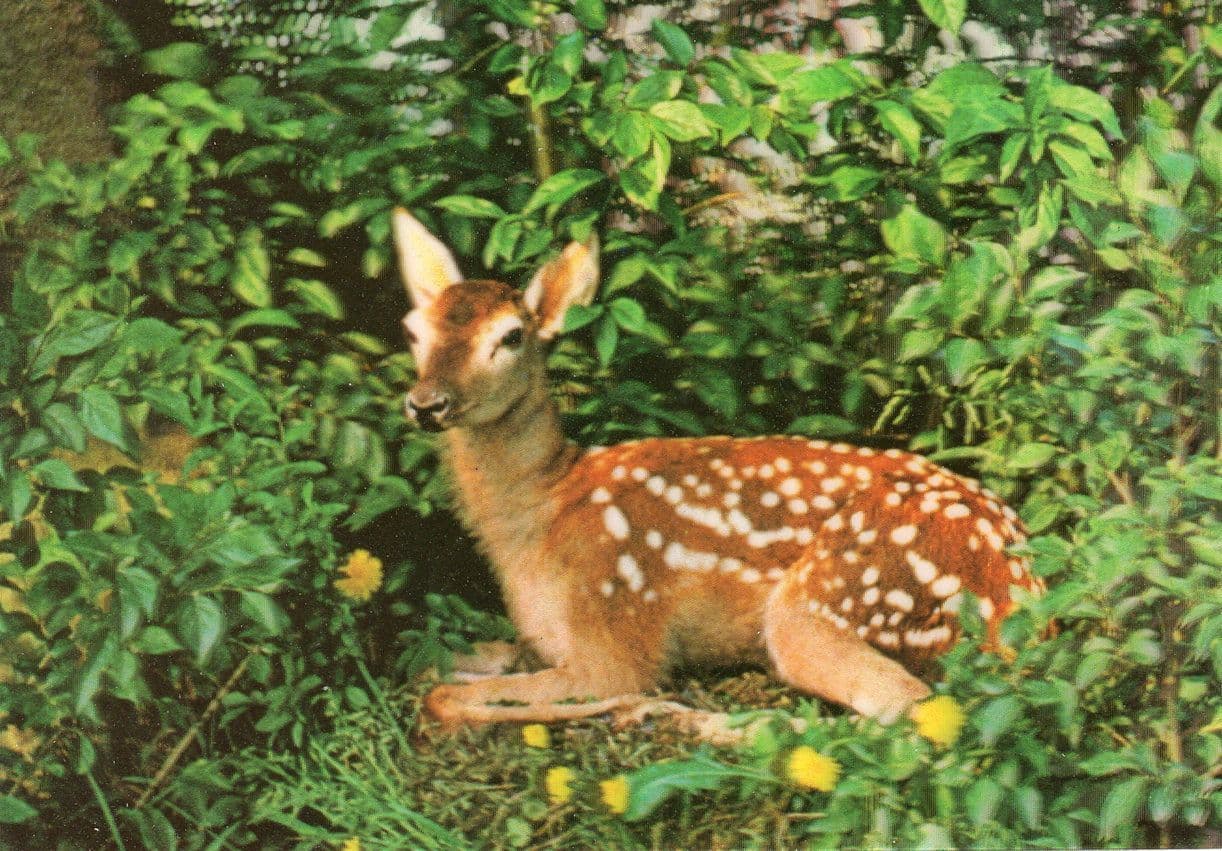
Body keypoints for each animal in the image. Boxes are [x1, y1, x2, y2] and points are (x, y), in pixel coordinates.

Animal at [392, 208, 1044, 739]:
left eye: (511, 336)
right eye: (414, 330)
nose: (427, 403)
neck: (541, 515)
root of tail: (1021, 596)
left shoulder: (614, 628)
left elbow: (445, 695)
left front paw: (631, 706)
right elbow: (430, 665)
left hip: (829, 600)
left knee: (908, 715)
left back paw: (691, 722)